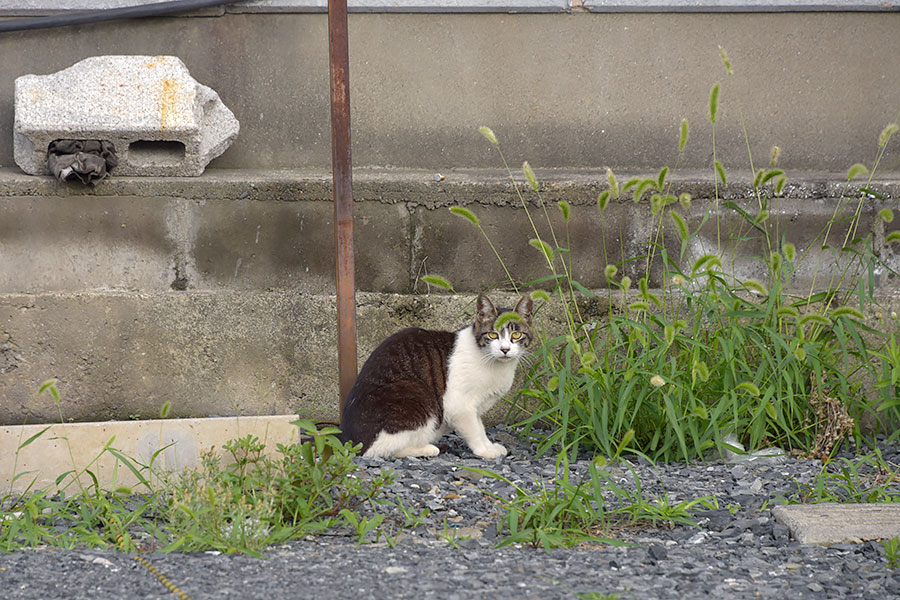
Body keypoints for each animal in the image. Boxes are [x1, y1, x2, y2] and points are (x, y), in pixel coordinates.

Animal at [340, 294, 536, 460]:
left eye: (516, 335)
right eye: (493, 335)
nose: (505, 349)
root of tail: (348, 442)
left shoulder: (475, 408)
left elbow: (480, 427)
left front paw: (490, 446)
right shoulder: (459, 406)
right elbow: (475, 431)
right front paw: (484, 451)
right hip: (418, 395)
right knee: (380, 450)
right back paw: (428, 449)